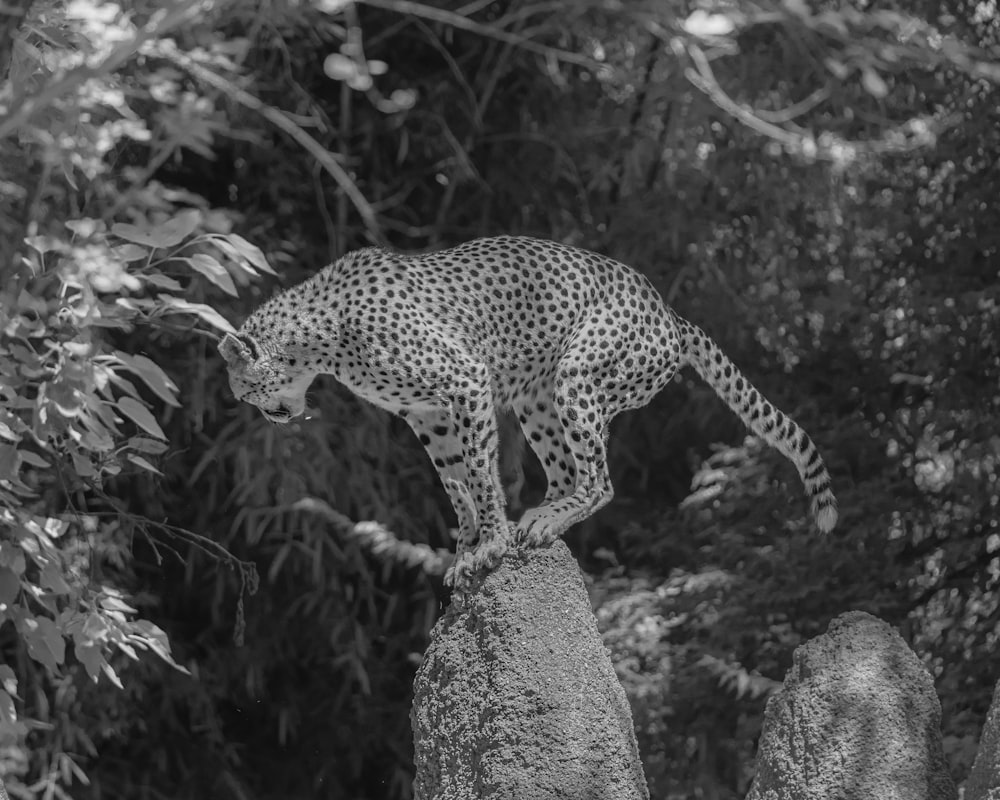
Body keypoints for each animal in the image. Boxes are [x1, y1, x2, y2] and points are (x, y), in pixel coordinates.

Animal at [219, 236, 836, 588]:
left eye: (244, 392)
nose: (271, 418)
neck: (318, 337)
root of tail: (668, 311)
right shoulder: (425, 415)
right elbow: (454, 482)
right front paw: (466, 546)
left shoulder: (464, 379)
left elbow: (479, 472)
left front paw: (489, 542)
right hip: (536, 397)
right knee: (565, 471)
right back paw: (541, 516)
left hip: (576, 377)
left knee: (599, 480)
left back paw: (542, 522)